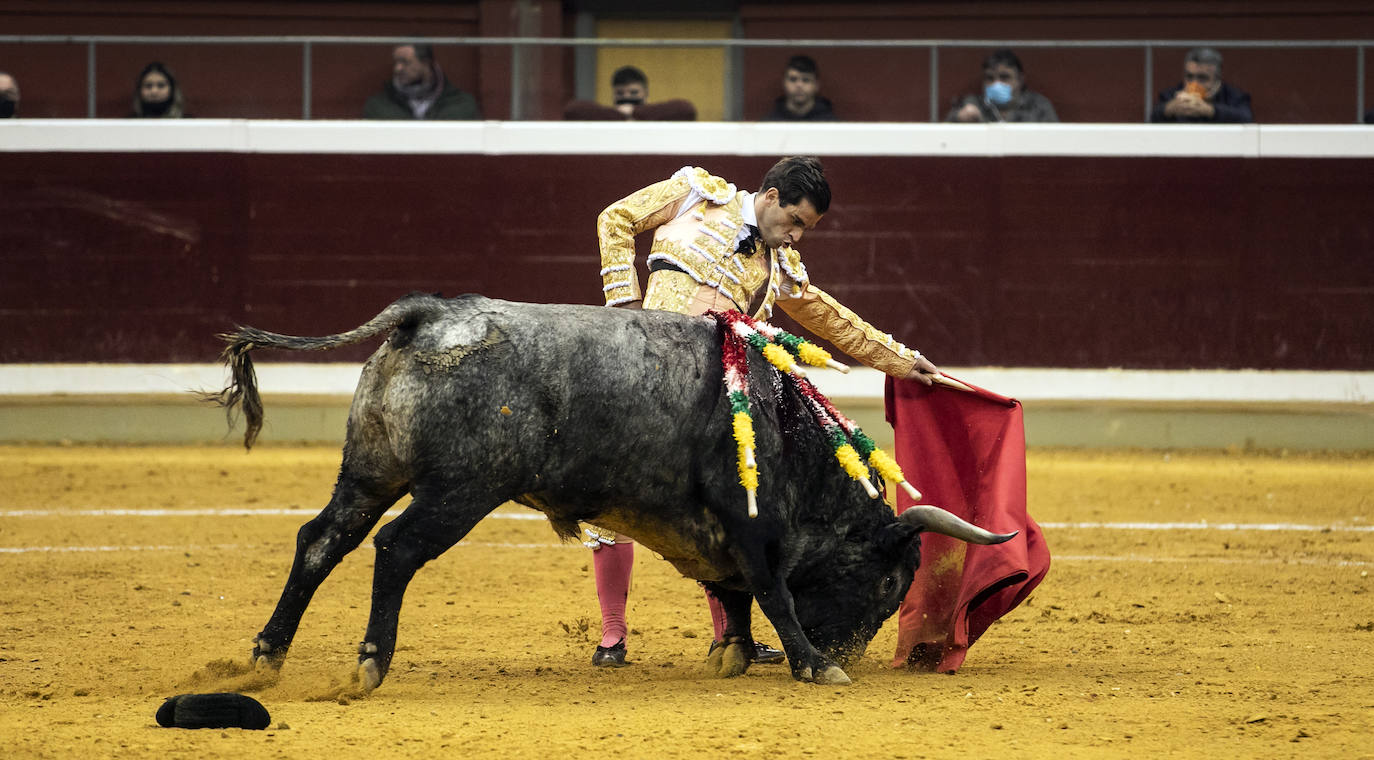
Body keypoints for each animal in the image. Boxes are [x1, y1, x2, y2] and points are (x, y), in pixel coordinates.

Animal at [208, 292, 1016, 684]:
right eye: (889, 585)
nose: (847, 651)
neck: (789, 428)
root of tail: (428, 314)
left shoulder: (710, 530)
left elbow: (732, 591)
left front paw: (735, 655)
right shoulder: (750, 522)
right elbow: (771, 589)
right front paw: (814, 667)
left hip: (371, 471)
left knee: (323, 540)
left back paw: (265, 656)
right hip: (461, 490)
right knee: (395, 550)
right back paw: (370, 662)